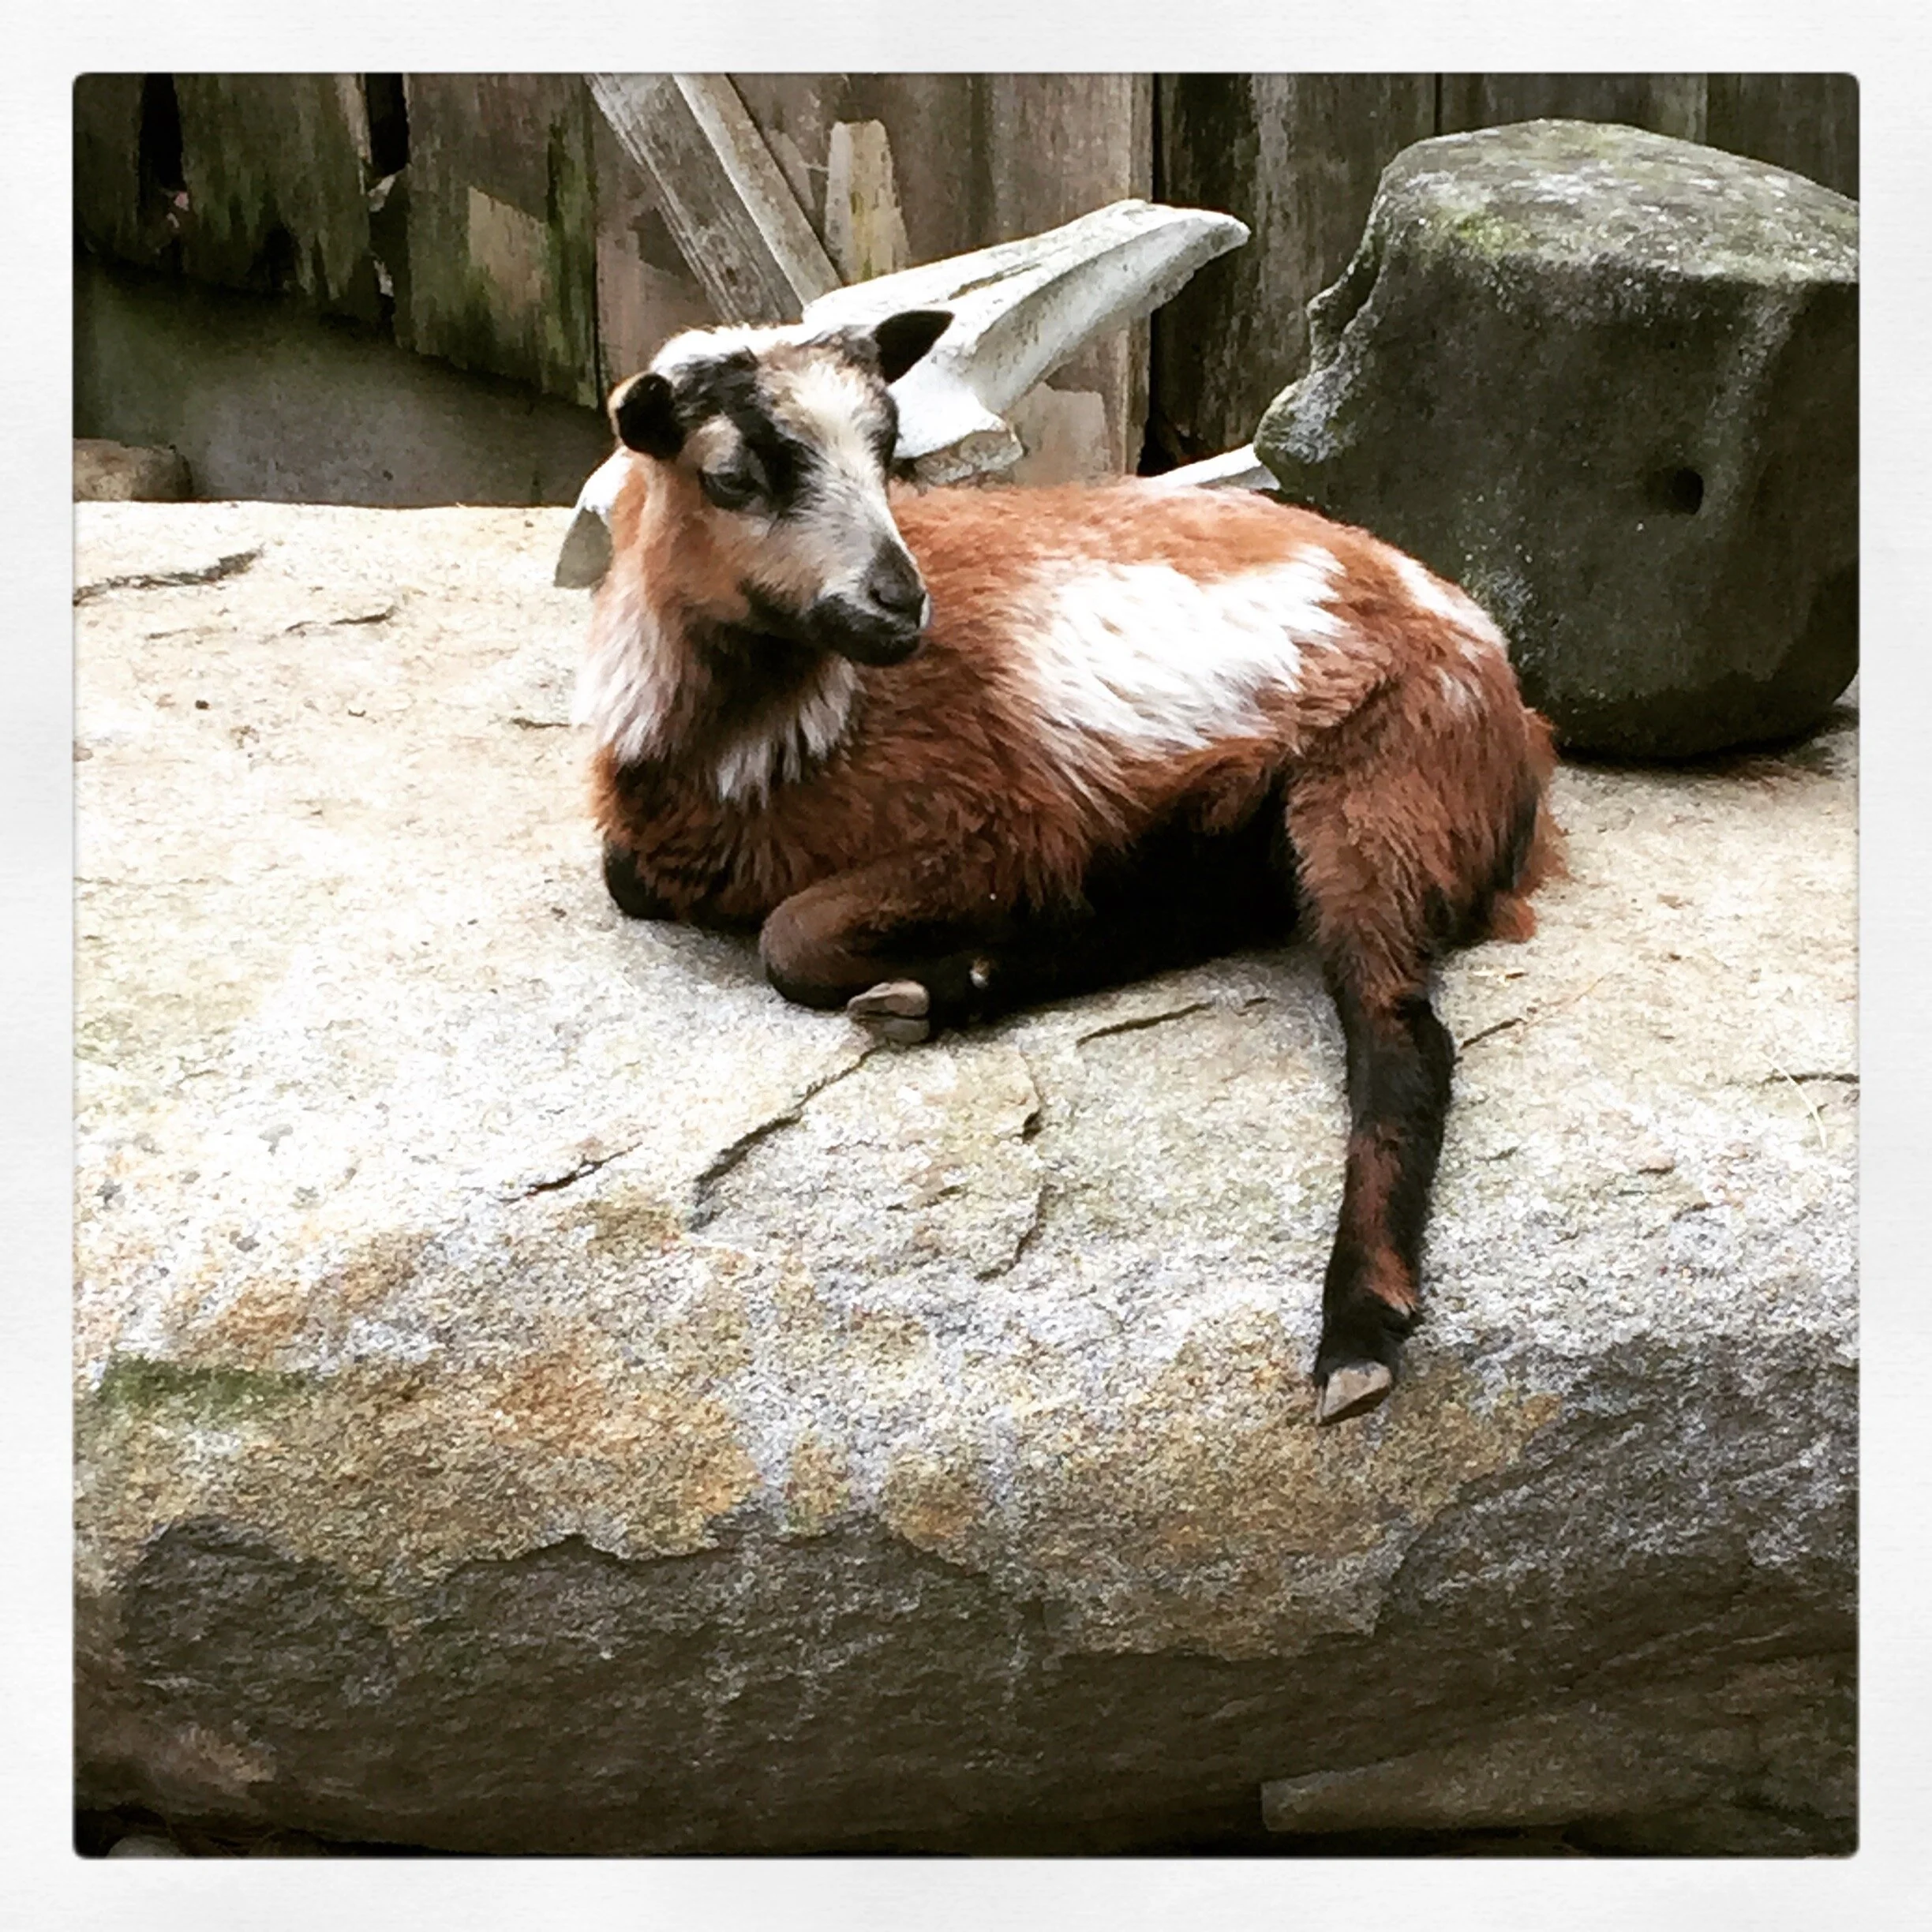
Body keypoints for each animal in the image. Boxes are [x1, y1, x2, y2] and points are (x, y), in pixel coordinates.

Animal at [575, 308, 1559, 1425]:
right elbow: (626, 878)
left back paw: (1356, 1335)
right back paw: (942, 990)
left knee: (1400, 1041)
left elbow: (791, 939)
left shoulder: (999, 828)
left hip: (1385, 792)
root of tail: (1505, 686)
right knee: (1192, 914)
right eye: (733, 477)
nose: (902, 604)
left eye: (888, 450)